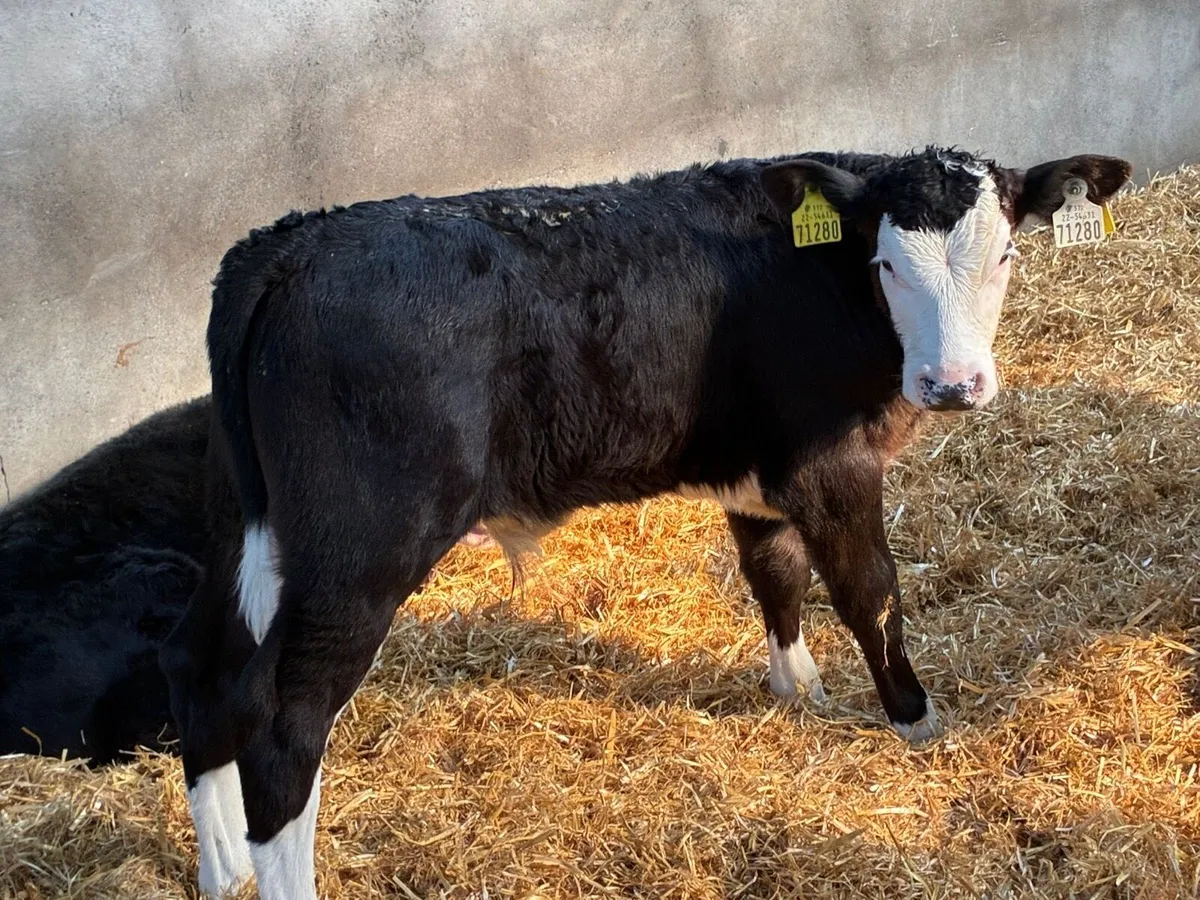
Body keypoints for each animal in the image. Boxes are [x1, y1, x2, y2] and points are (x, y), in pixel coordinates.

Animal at [160, 146, 1131, 899]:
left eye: (1005, 254)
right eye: (887, 265)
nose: (952, 385)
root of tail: (289, 244)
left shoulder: (759, 470)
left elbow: (774, 573)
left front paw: (799, 692)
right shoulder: (831, 467)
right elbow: (870, 593)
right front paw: (917, 722)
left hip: (244, 522)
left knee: (200, 663)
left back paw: (222, 868)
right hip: (360, 548)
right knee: (284, 722)